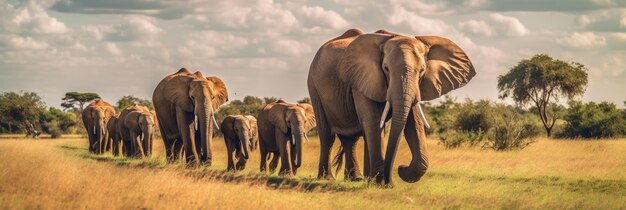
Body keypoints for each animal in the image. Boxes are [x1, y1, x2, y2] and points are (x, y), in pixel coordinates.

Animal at [306, 28, 472, 185]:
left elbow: (414, 124)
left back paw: (357, 179)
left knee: (352, 139)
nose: (400, 168)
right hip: (313, 85)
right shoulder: (362, 79)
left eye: (422, 70)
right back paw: (328, 179)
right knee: (327, 135)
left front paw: (377, 180)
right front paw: (380, 183)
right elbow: (373, 121)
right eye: (386, 69)